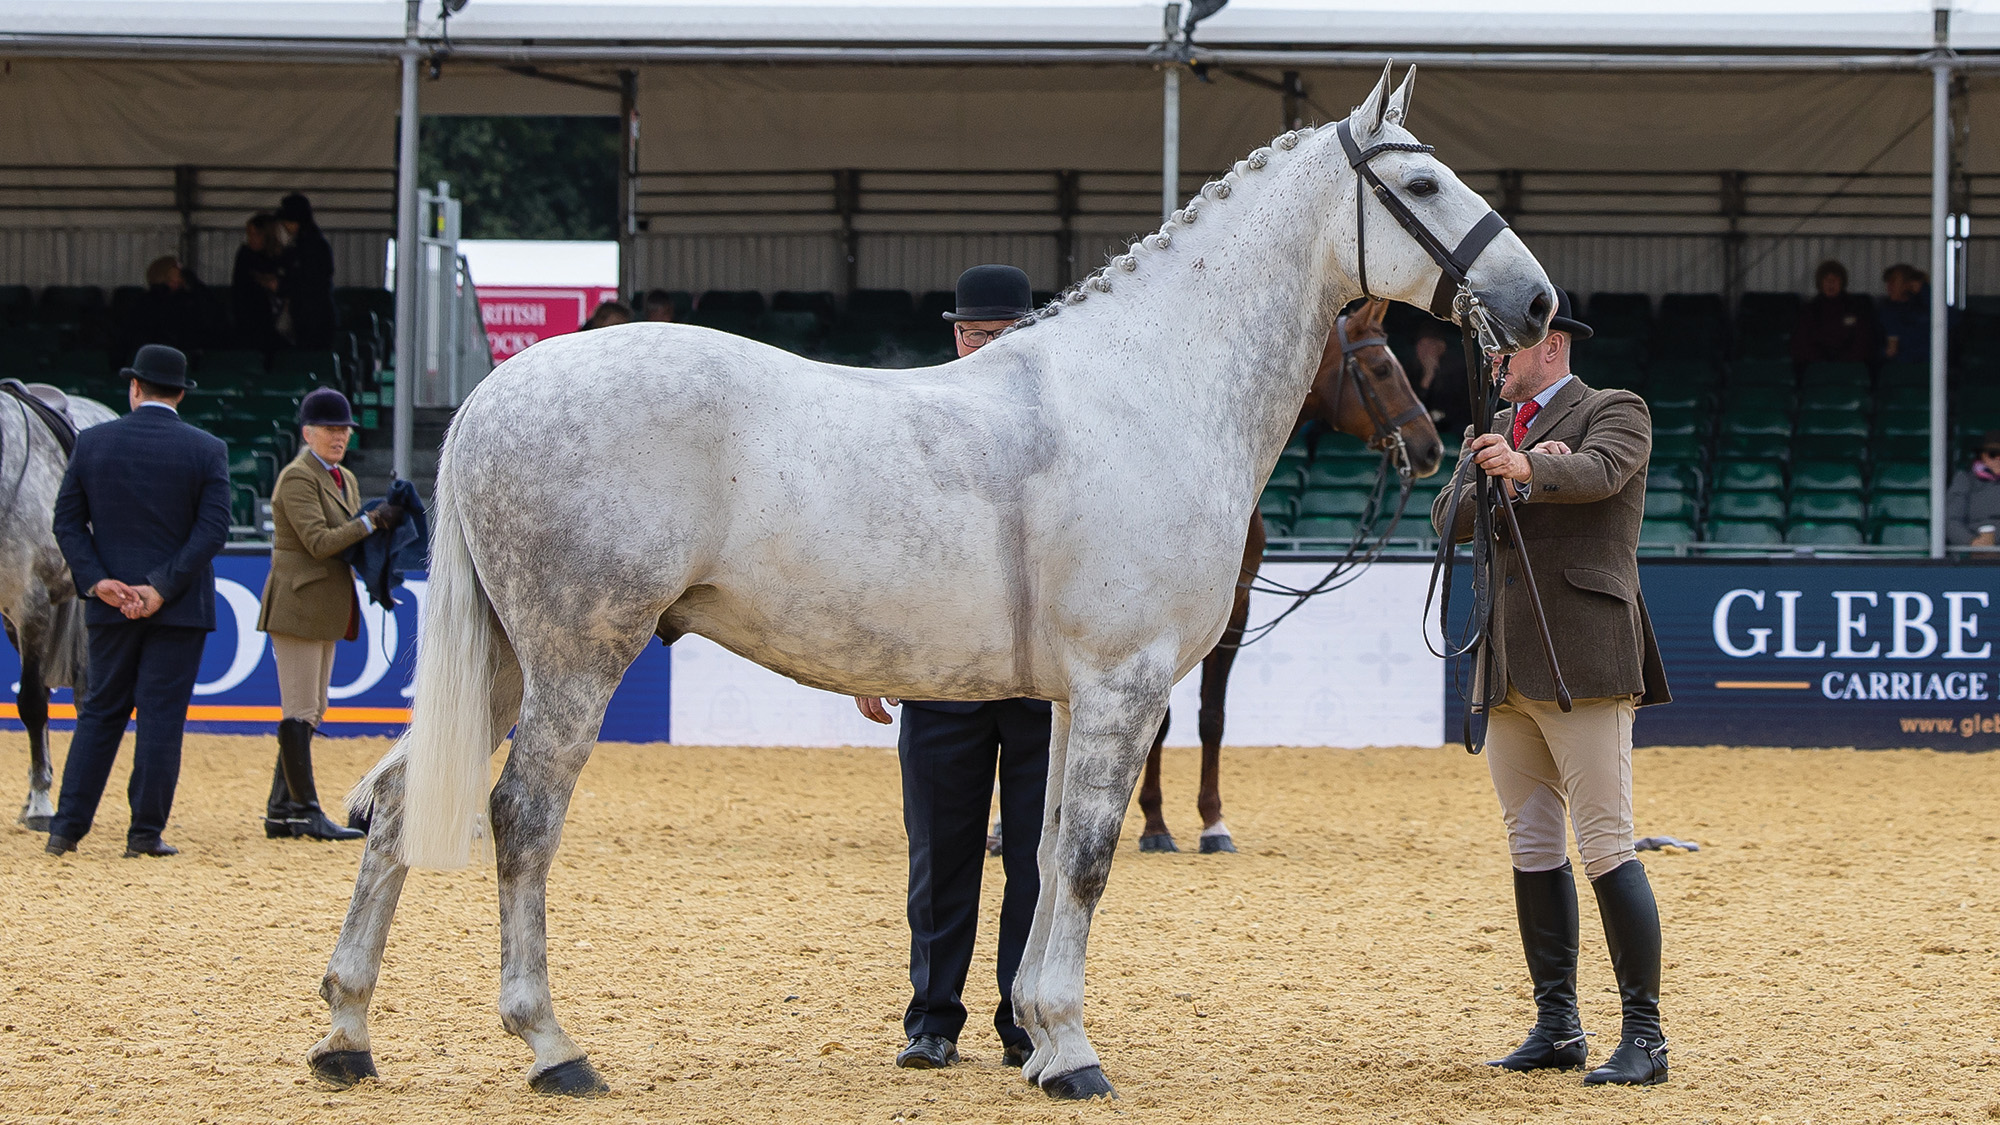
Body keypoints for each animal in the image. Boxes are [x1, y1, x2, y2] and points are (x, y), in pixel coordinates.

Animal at [1135, 296, 1442, 855]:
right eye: (1382, 369)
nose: (1430, 449)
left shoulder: (1236, 610)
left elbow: (1212, 719)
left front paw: (1213, 824)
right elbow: (1161, 723)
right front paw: (1154, 825)